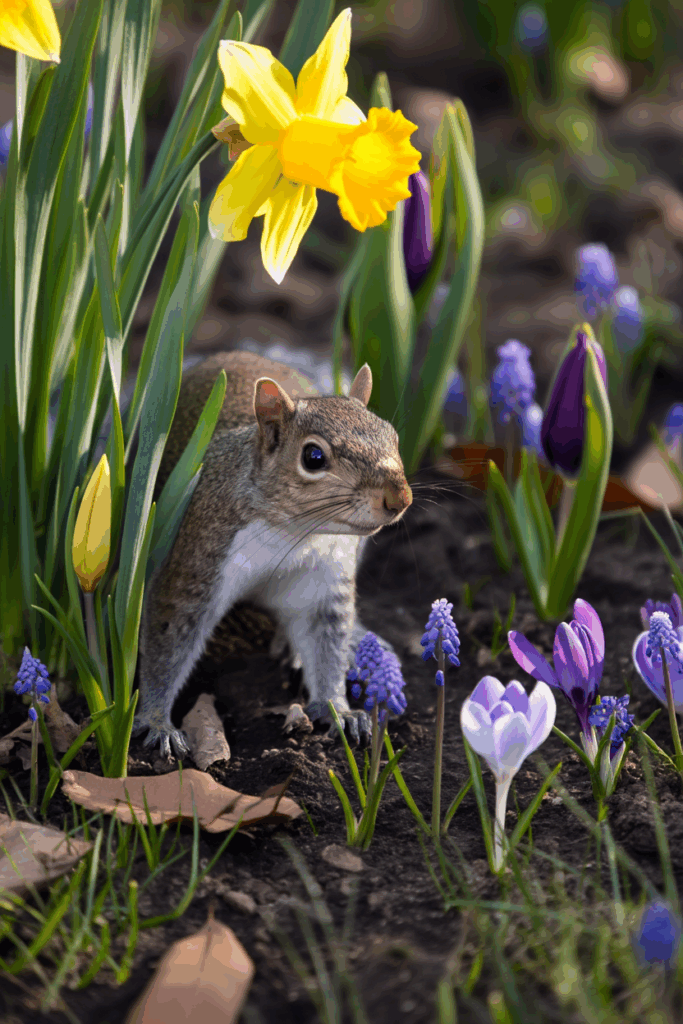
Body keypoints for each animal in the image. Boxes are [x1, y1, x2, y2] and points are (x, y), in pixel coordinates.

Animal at [131, 350, 413, 759]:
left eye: (392, 436)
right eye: (313, 457)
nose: (399, 498)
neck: (293, 534)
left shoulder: (323, 581)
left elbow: (325, 646)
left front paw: (339, 709)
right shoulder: (196, 560)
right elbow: (169, 641)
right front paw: (157, 721)